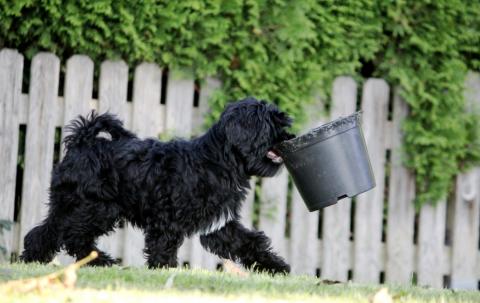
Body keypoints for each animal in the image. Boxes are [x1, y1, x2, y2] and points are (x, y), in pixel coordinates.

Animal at [19, 98, 292, 276]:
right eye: (272, 126)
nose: (289, 138)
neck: (217, 160)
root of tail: (82, 141)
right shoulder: (167, 218)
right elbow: (164, 245)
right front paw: (164, 270)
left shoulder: (219, 225)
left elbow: (249, 242)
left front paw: (276, 266)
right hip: (96, 207)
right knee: (74, 235)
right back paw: (101, 261)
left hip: (69, 204)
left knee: (45, 231)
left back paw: (32, 259)